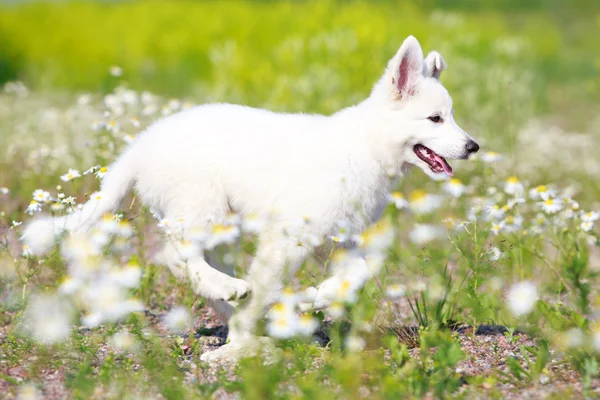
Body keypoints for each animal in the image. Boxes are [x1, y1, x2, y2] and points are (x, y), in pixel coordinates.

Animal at [22, 36, 478, 362]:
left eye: (452, 116)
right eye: (435, 119)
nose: (473, 147)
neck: (365, 147)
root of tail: (140, 144)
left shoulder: (341, 240)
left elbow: (358, 275)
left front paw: (310, 299)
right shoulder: (286, 239)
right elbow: (270, 285)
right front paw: (244, 342)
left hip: (222, 223)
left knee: (198, 266)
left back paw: (235, 306)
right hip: (202, 207)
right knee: (175, 256)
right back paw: (231, 299)